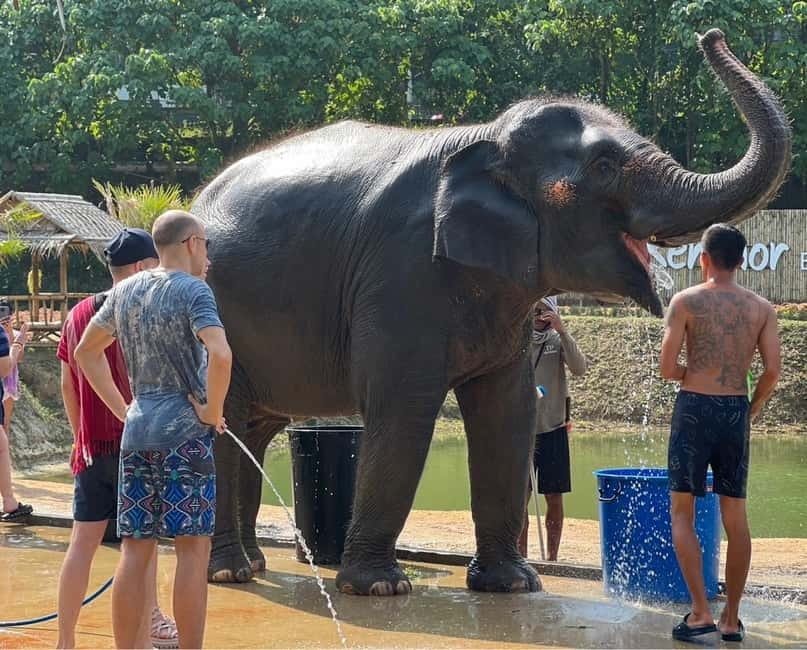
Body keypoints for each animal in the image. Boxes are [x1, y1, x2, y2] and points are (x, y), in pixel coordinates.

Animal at [192, 29, 790, 595]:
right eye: (603, 166)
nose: (710, 35)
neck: (483, 136)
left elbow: (509, 408)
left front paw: (514, 585)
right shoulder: (401, 270)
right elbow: (403, 409)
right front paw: (380, 587)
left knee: (255, 429)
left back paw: (253, 562)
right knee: (224, 418)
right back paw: (229, 572)